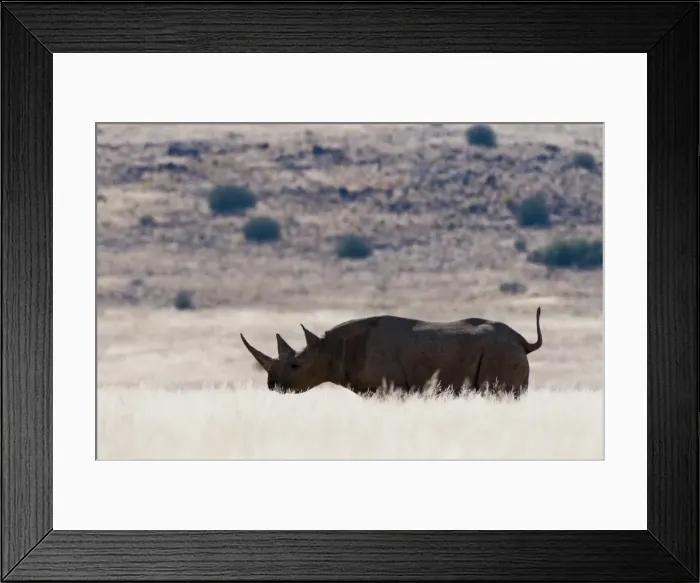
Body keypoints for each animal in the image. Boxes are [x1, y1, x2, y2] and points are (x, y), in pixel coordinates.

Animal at [240, 307, 542, 398]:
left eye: (295, 366)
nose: (272, 385)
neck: (329, 349)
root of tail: (523, 342)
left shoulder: (390, 388)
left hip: (499, 352)